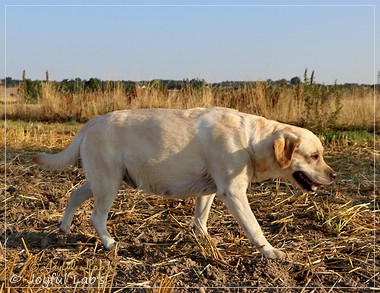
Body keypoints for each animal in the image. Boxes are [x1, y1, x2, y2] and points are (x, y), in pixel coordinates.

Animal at [33, 107, 336, 258]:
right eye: (314, 156)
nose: (333, 176)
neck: (249, 140)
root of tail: (90, 123)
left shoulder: (209, 191)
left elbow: (200, 220)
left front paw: (205, 241)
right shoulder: (233, 192)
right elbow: (254, 228)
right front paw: (271, 253)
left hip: (102, 180)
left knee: (75, 195)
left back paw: (64, 228)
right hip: (108, 184)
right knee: (96, 217)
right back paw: (109, 244)